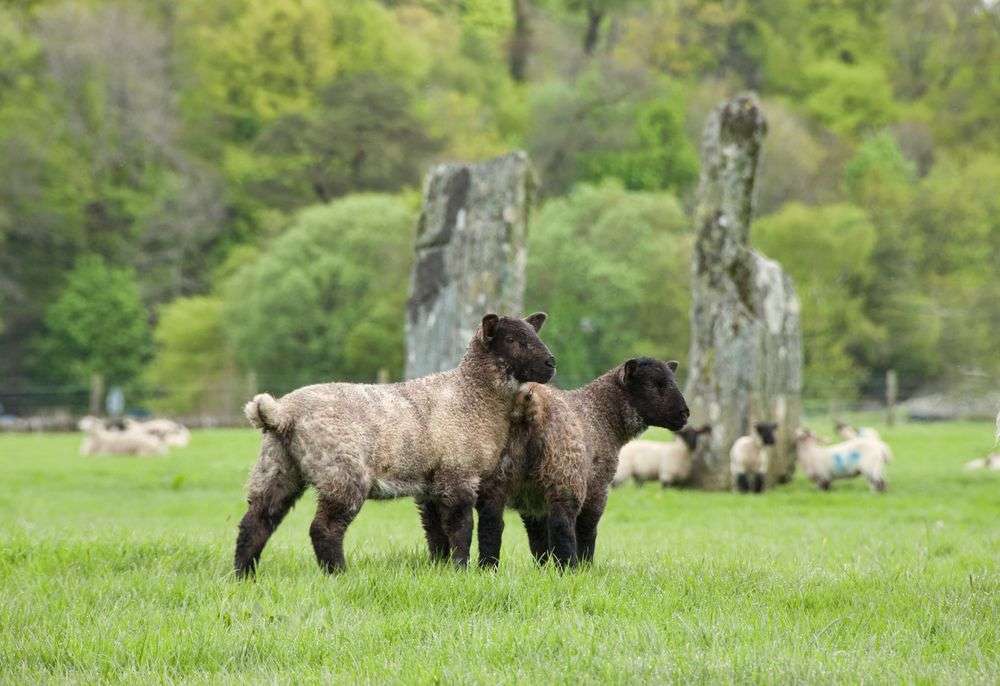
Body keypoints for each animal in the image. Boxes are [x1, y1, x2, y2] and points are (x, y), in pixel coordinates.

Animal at [233, 313, 555, 577]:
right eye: (512, 340)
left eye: (533, 333)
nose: (552, 363)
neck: (471, 395)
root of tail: (282, 413)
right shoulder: (457, 475)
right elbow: (461, 528)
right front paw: (461, 569)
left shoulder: (432, 486)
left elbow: (436, 532)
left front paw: (440, 569)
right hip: (341, 472)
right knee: (323, 529)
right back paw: (338, 574)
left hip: (277, 467)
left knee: (256, 522)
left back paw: (243, 575)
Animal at [469, 357, 689, 569]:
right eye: (655, 384)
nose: (685, 414)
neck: (602, 416)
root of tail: (527, 403)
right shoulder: (597, 486)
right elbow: (587, 527)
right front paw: (585, 565)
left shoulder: (531, 495)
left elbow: (538, 537)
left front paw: (542, 569)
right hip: (564, 473)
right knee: (562, 524)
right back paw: (570, 567)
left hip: (498, 473)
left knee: (490, 521)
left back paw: (488, 567)